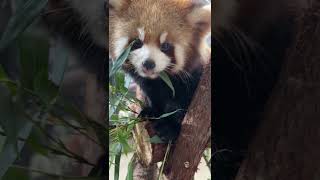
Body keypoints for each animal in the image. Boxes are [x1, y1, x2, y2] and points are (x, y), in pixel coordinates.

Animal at [109, 0, 211, 140]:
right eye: (137, 42)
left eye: (165, 46)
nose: (148, 63)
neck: (160, 81)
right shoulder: (149, 85)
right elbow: (153, 97)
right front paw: (151, 111)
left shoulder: (194, 80)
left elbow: (181, 105)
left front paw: (170, 126)